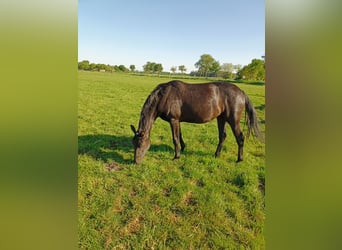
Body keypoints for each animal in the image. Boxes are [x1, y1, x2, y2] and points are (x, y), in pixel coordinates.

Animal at [131, 80, 262, 164]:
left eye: (140, 144)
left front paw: (176, 156)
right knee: (222, 136)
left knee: (240, 138)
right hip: (221, 118)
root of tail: (241, 92)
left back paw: (239, 159)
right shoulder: (178, 120)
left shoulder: (173, 120)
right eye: (133, 143)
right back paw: (216, 155)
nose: (136, 162)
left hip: (233, 120)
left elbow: (175, 138)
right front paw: (182, 149)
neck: (165, 96)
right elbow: (180, 135)